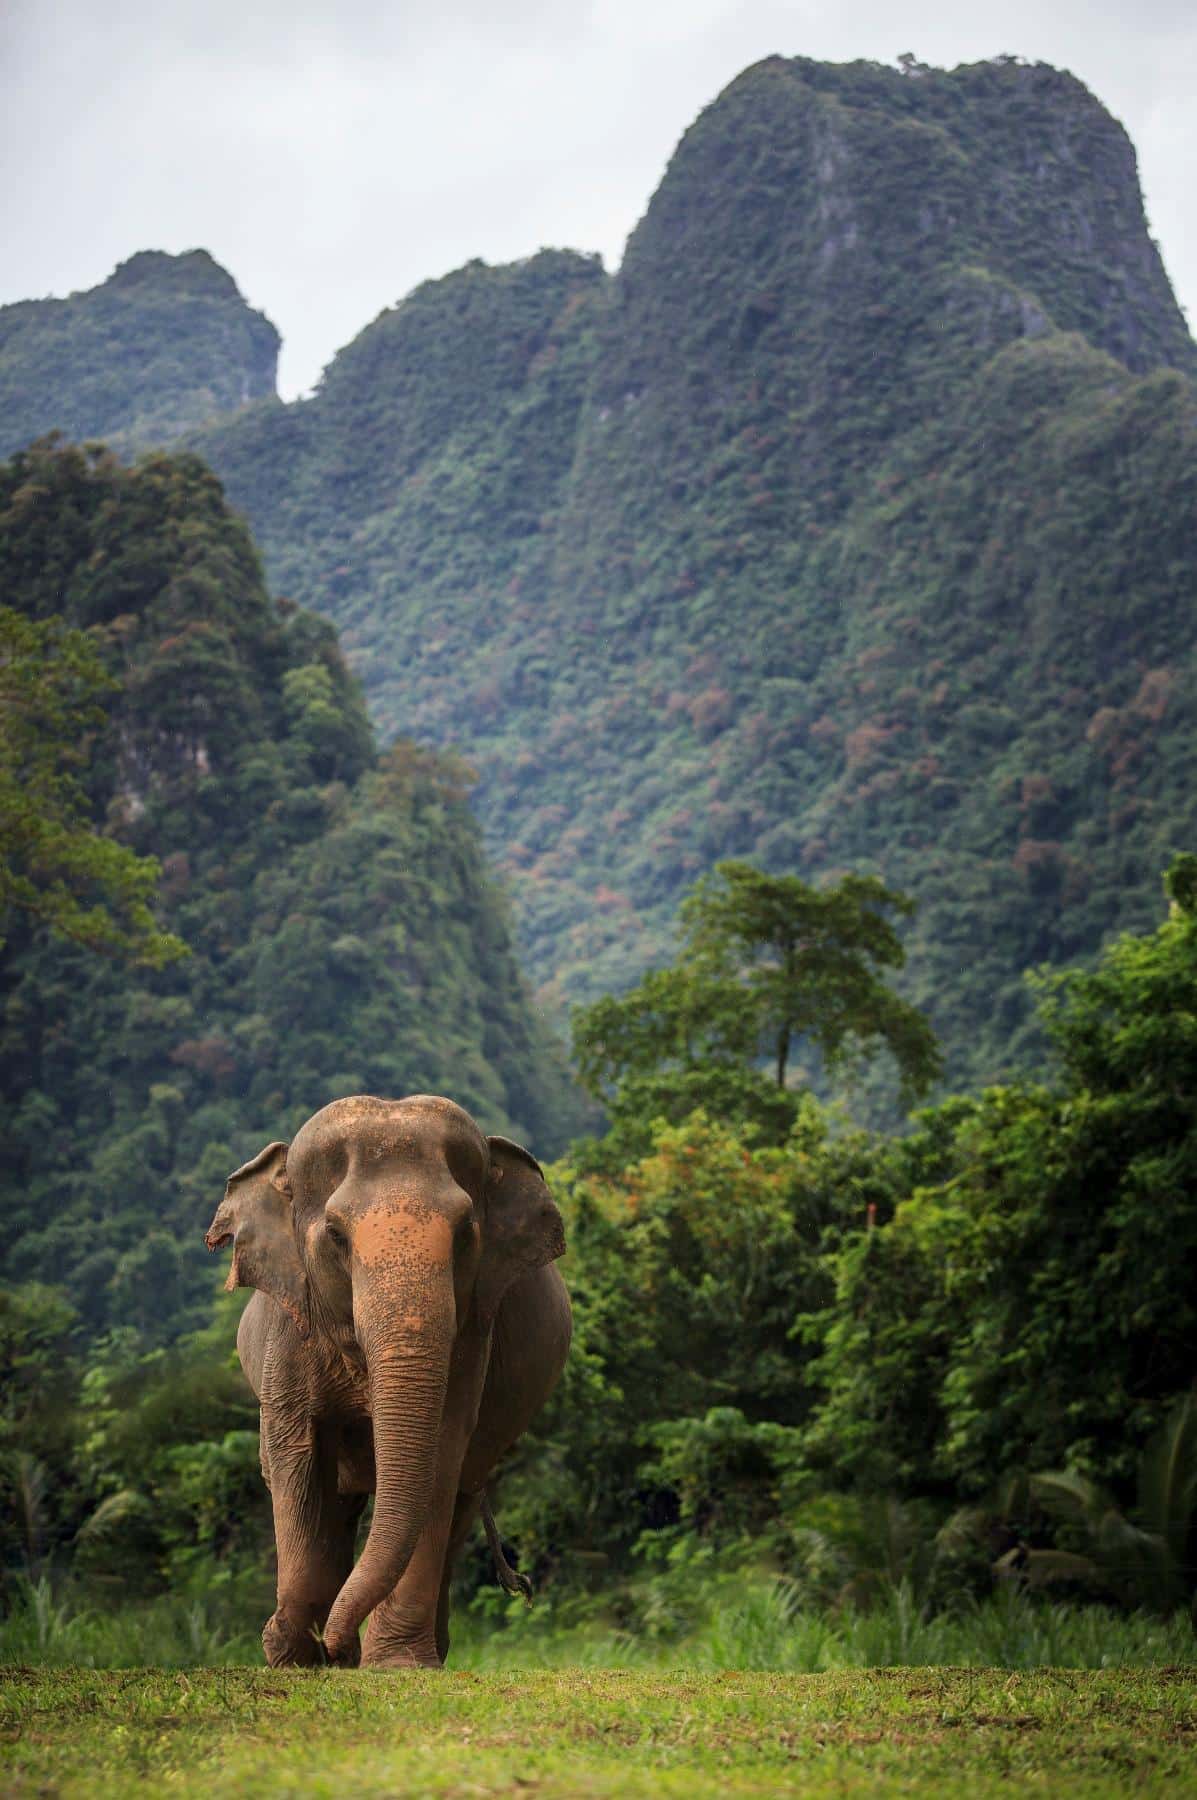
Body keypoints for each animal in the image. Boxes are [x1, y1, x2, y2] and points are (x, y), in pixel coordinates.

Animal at [203, 1092, 571, 1669]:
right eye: (335, 1235)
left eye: (465, 1233)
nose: (335, 1643)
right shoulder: (290, 1330)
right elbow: (297, 1455)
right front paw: (294, 1653)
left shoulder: (471, 1333)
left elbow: (440, 1451)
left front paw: (393, 1664)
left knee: (459, 1499)